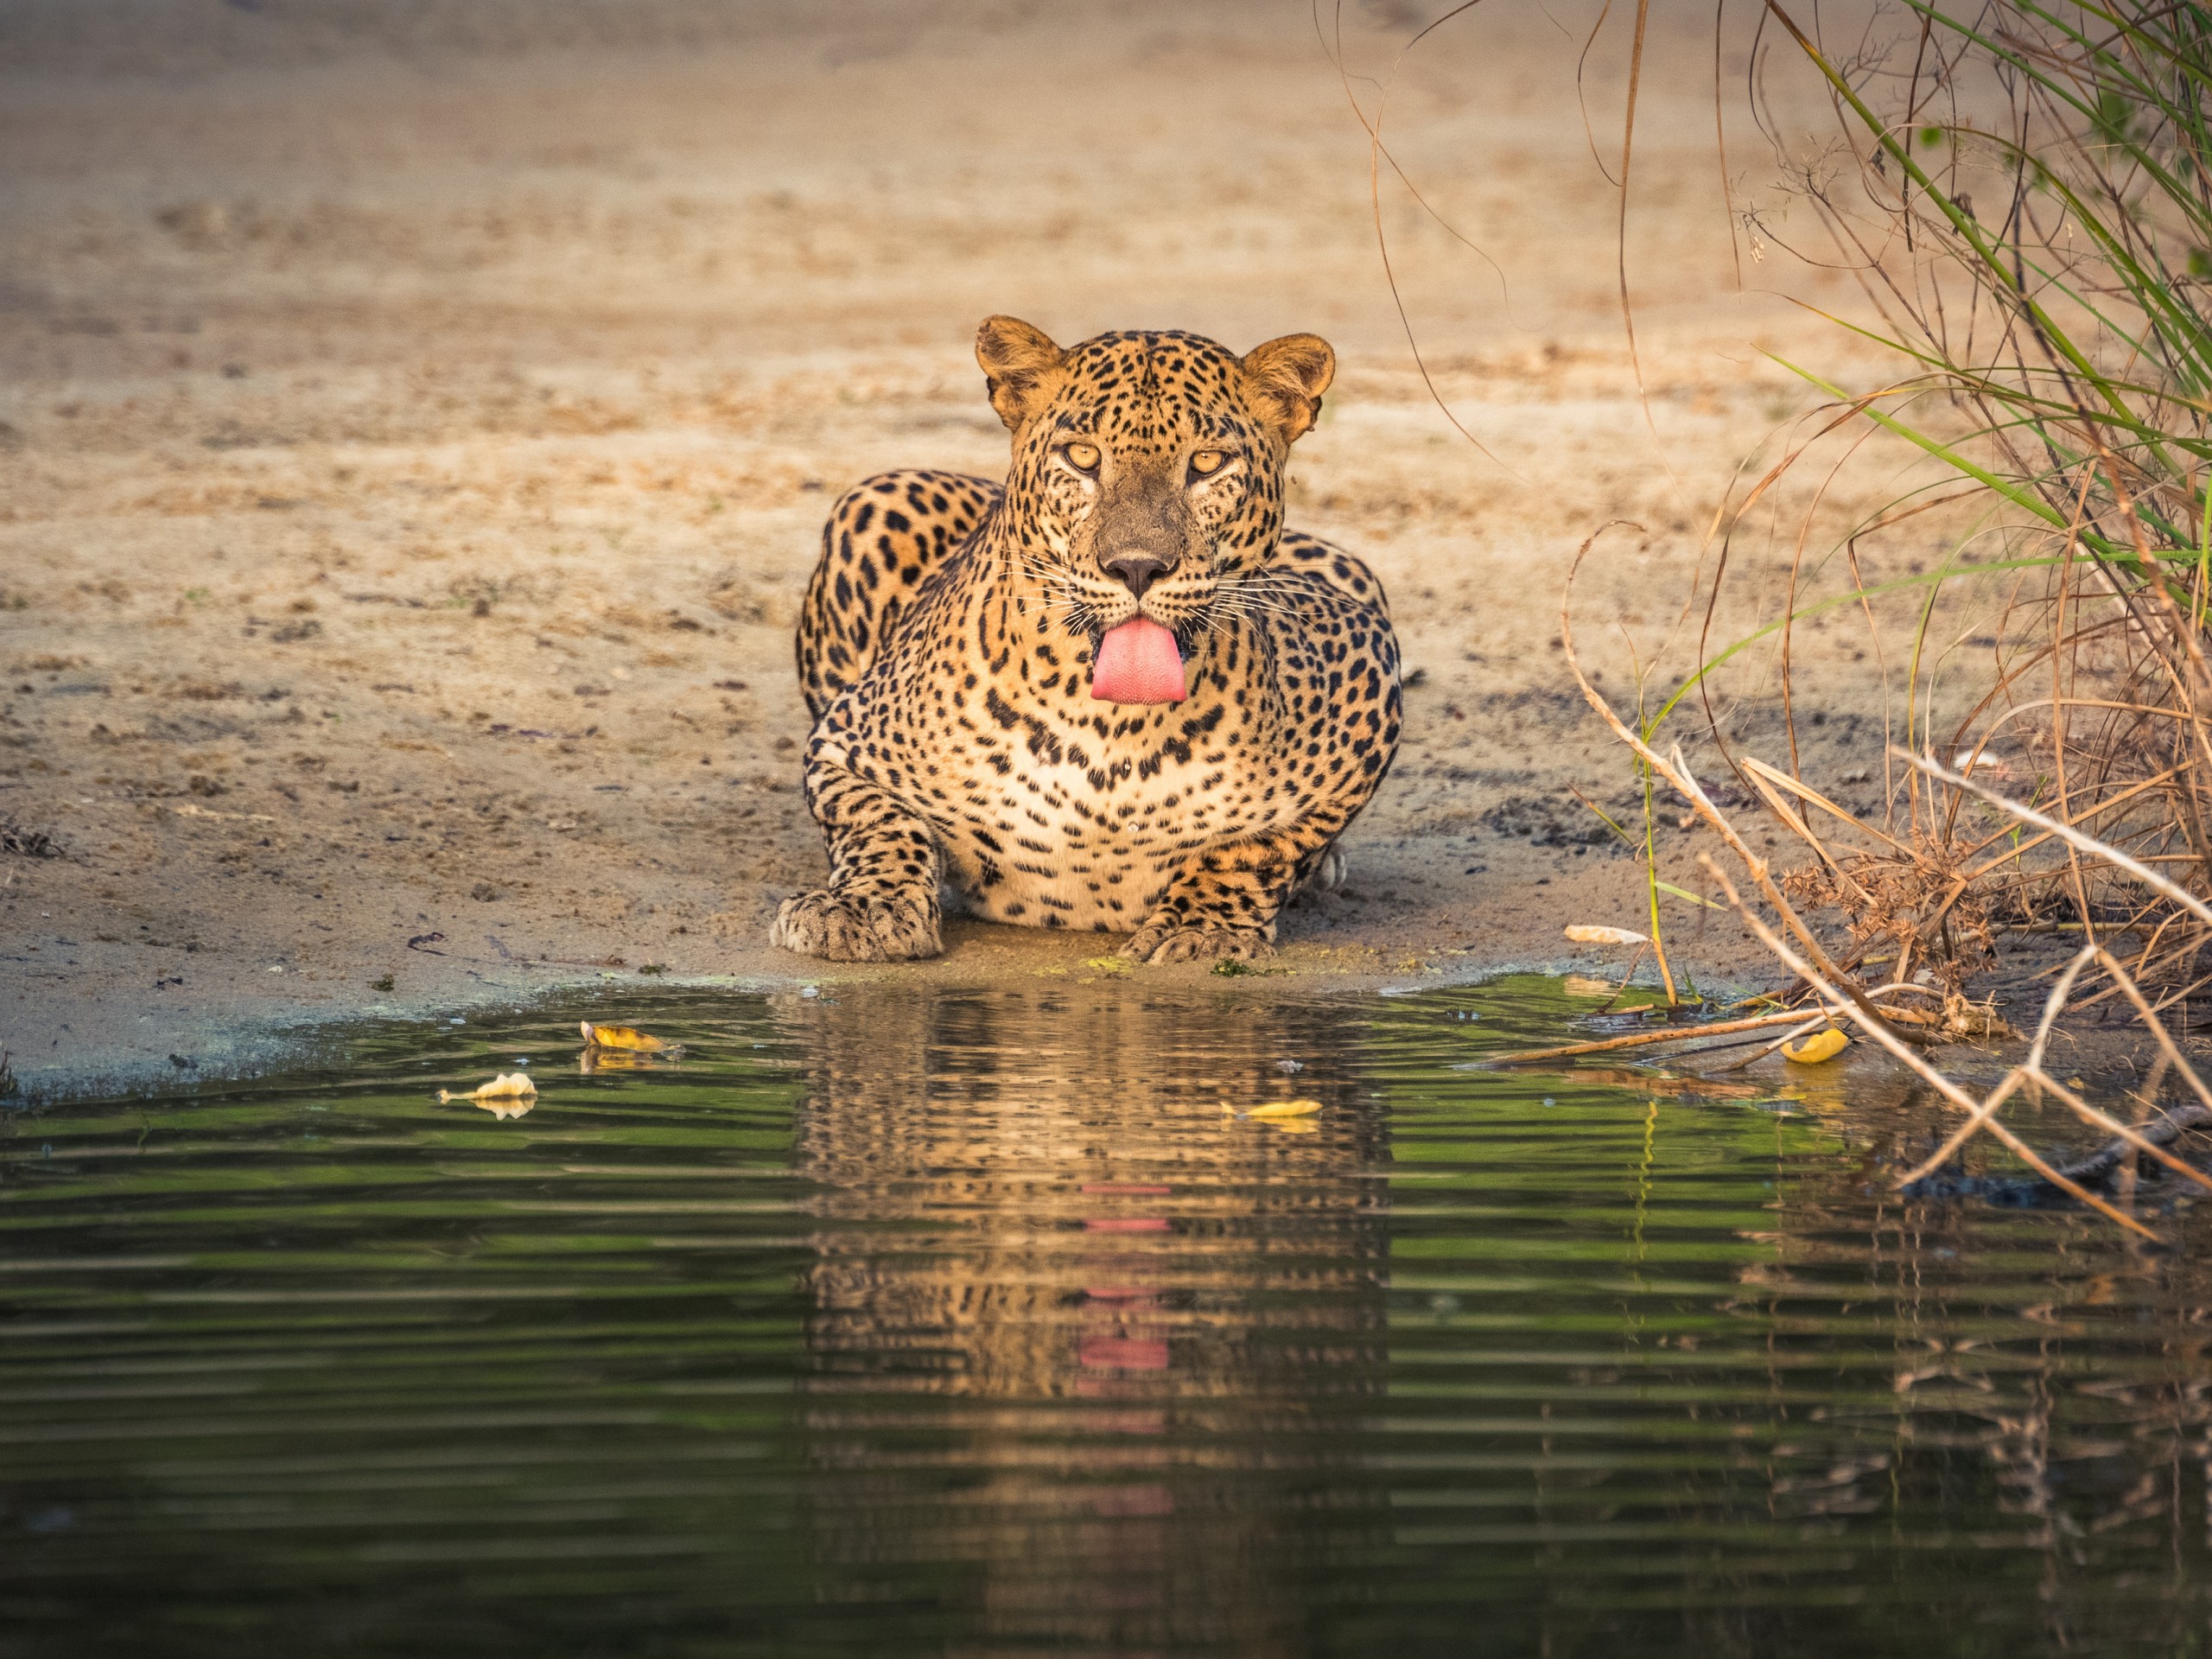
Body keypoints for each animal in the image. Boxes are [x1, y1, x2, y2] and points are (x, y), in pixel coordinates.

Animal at [779, 318, 1397, 969]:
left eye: (1207, 463)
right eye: (1082, 457)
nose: (1137, 567)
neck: (1111, 729)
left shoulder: (1368, 664)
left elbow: (1260, 846)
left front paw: (1201, 929)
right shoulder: (844, 741)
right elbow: (880, 822)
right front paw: (865, 908)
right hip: (879, 495)